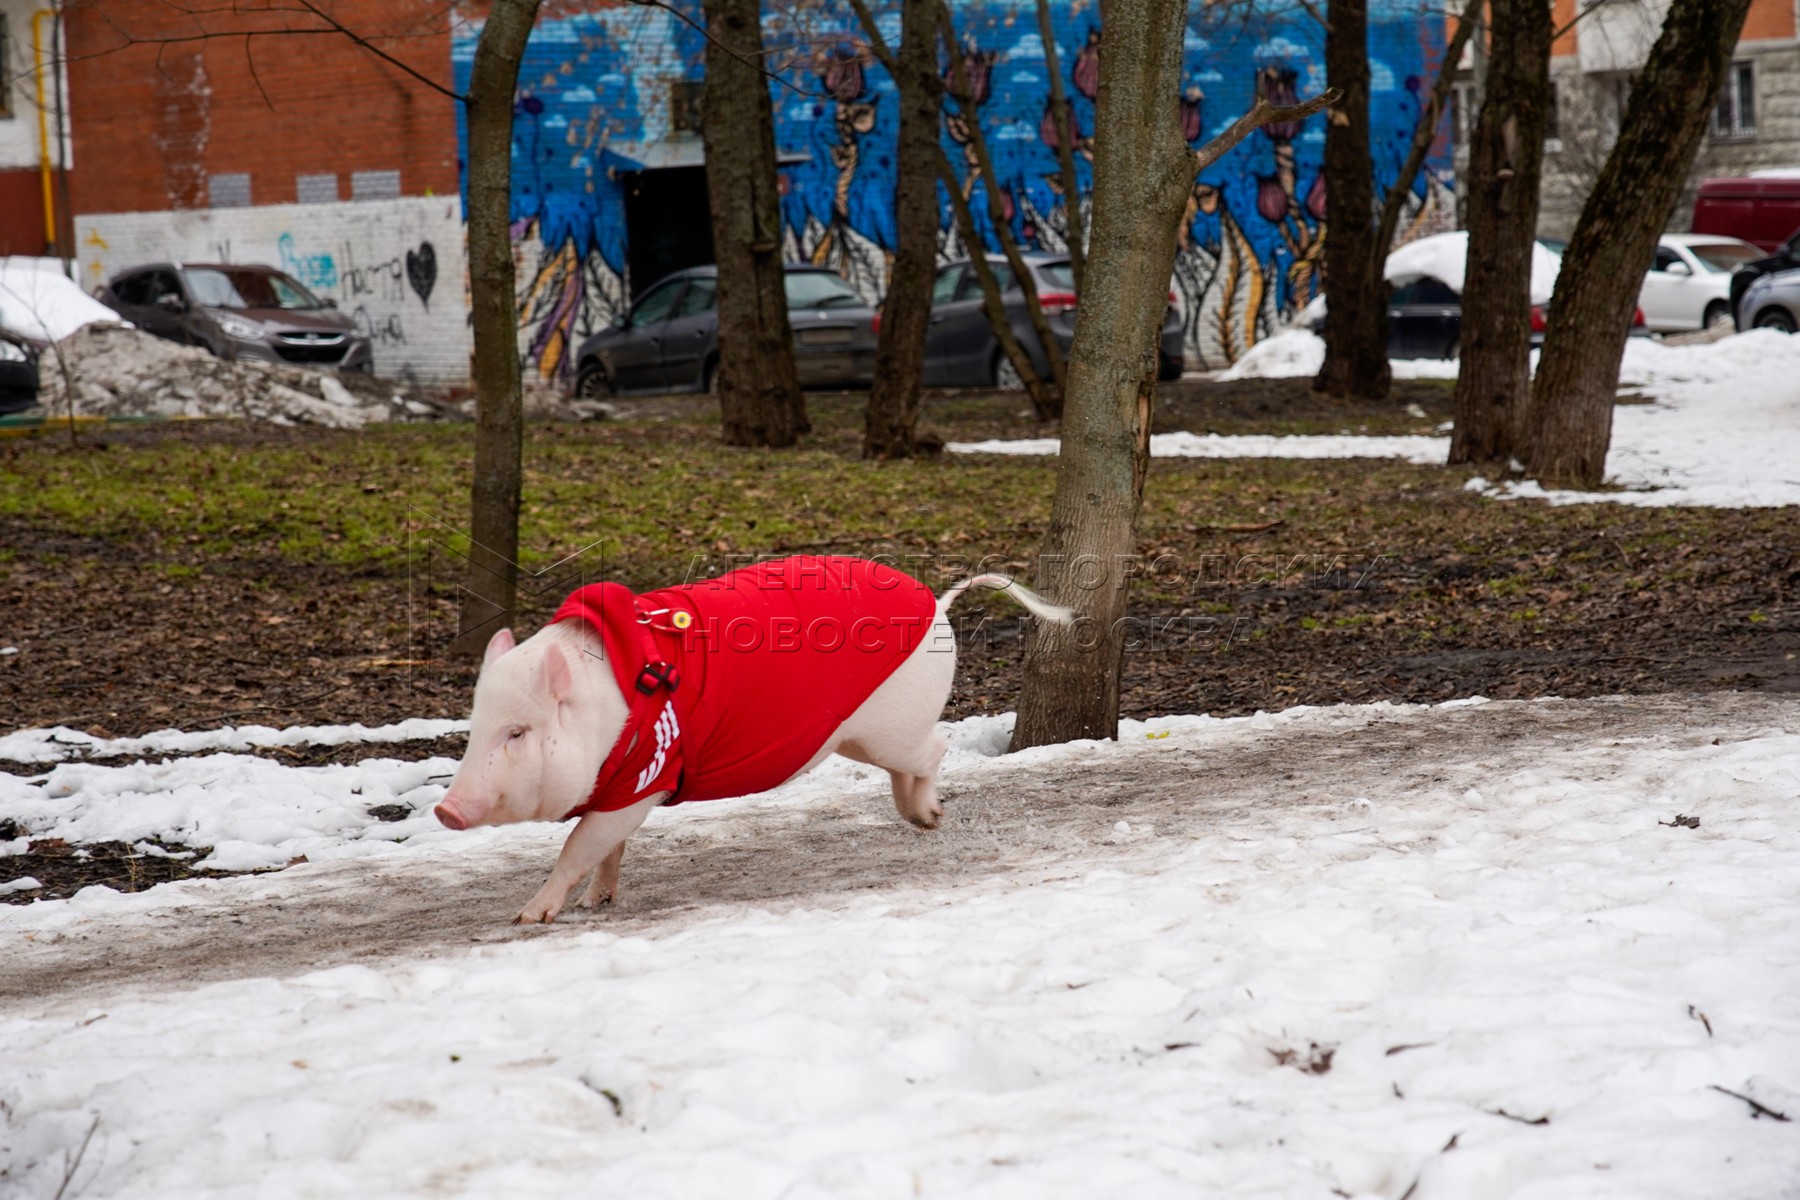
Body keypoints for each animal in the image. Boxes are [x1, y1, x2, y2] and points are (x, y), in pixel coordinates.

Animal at [433, 557, 1065, 928]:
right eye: (477, 725)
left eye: (518, 731)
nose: (445, 810)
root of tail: (937, 604)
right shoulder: (620, 786)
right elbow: (608, 849)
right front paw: (597, 902)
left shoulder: (645, 777)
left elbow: (580, 845)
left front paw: (527, 917)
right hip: (855, 738)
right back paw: (917, 818)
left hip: (894, 730)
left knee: (935, 751)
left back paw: (931, 817)